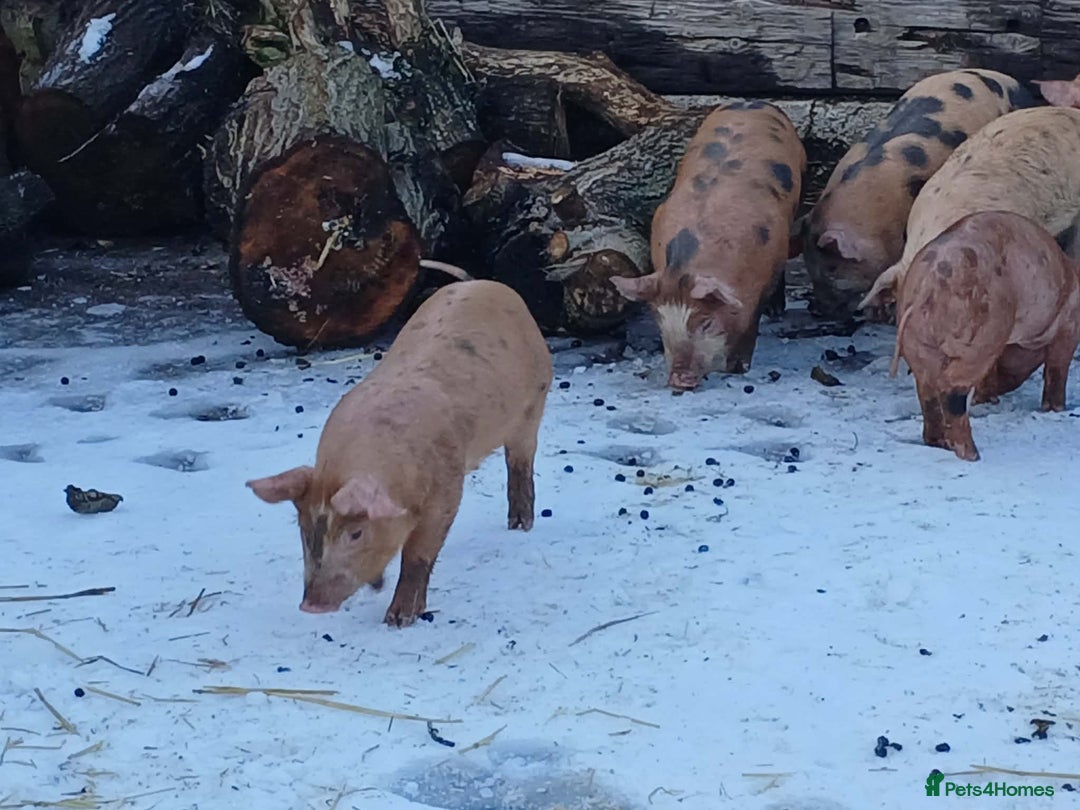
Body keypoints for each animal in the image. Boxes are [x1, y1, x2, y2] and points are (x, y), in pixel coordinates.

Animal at [246, 280, 553, 627]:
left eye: (356, 533)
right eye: (304, 529)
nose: (311, 606)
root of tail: (483, 283)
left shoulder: (447, 490)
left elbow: (419, 554)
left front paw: (398, 620)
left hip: (534, 404)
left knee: (520, 461)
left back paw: (520, 525)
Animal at [610, 101, 806, 391]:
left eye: (705, 323)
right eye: (662, 325)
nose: (679, 379)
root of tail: (751, 102)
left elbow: (751, 327)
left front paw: (739, 369)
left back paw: (777, 312)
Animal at [881, 211, 1080, 461]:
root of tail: (928, 286)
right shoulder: (1070, 323)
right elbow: (1057, 367)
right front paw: (1056, 409)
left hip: (918, 342)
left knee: (927, 390)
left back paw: (939, 444)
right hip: (978, 336)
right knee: (951, 388)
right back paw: (972, 454)